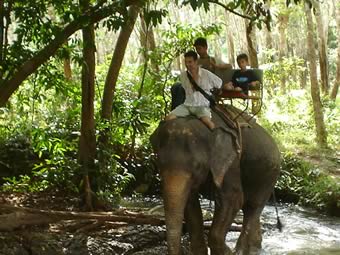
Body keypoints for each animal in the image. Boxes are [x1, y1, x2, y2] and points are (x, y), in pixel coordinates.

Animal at [150, 108, 280, 255]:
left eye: (198, 166)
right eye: (159, 164)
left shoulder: (231, 161)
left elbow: (233, 198)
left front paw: (227, 252)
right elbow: (190, 203)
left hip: (270, 174)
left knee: (253, 207)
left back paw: (242, 251)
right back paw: (255, 247)